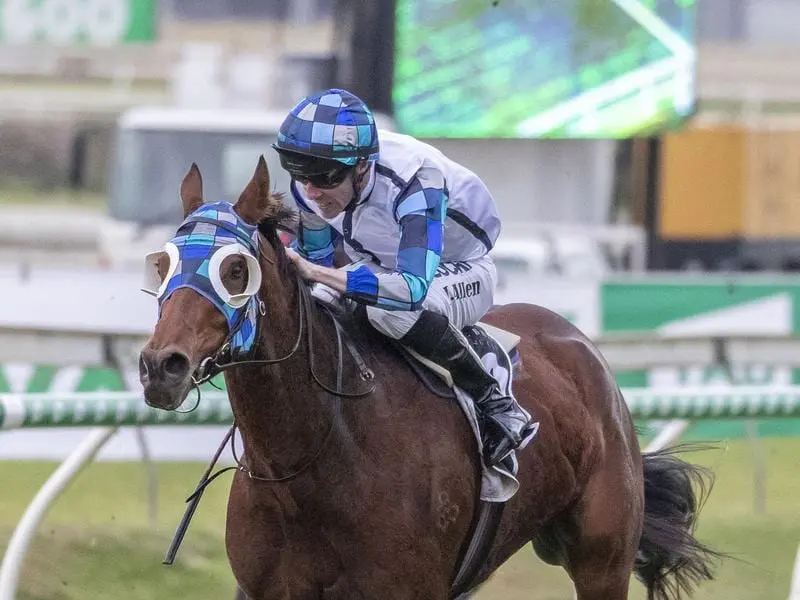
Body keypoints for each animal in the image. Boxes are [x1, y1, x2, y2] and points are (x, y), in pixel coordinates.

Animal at [138, 157, 720, 596]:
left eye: (236, 270)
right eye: (162, 265)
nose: (161, 366)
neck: (311, 462)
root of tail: (576, 343)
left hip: (603, 558)